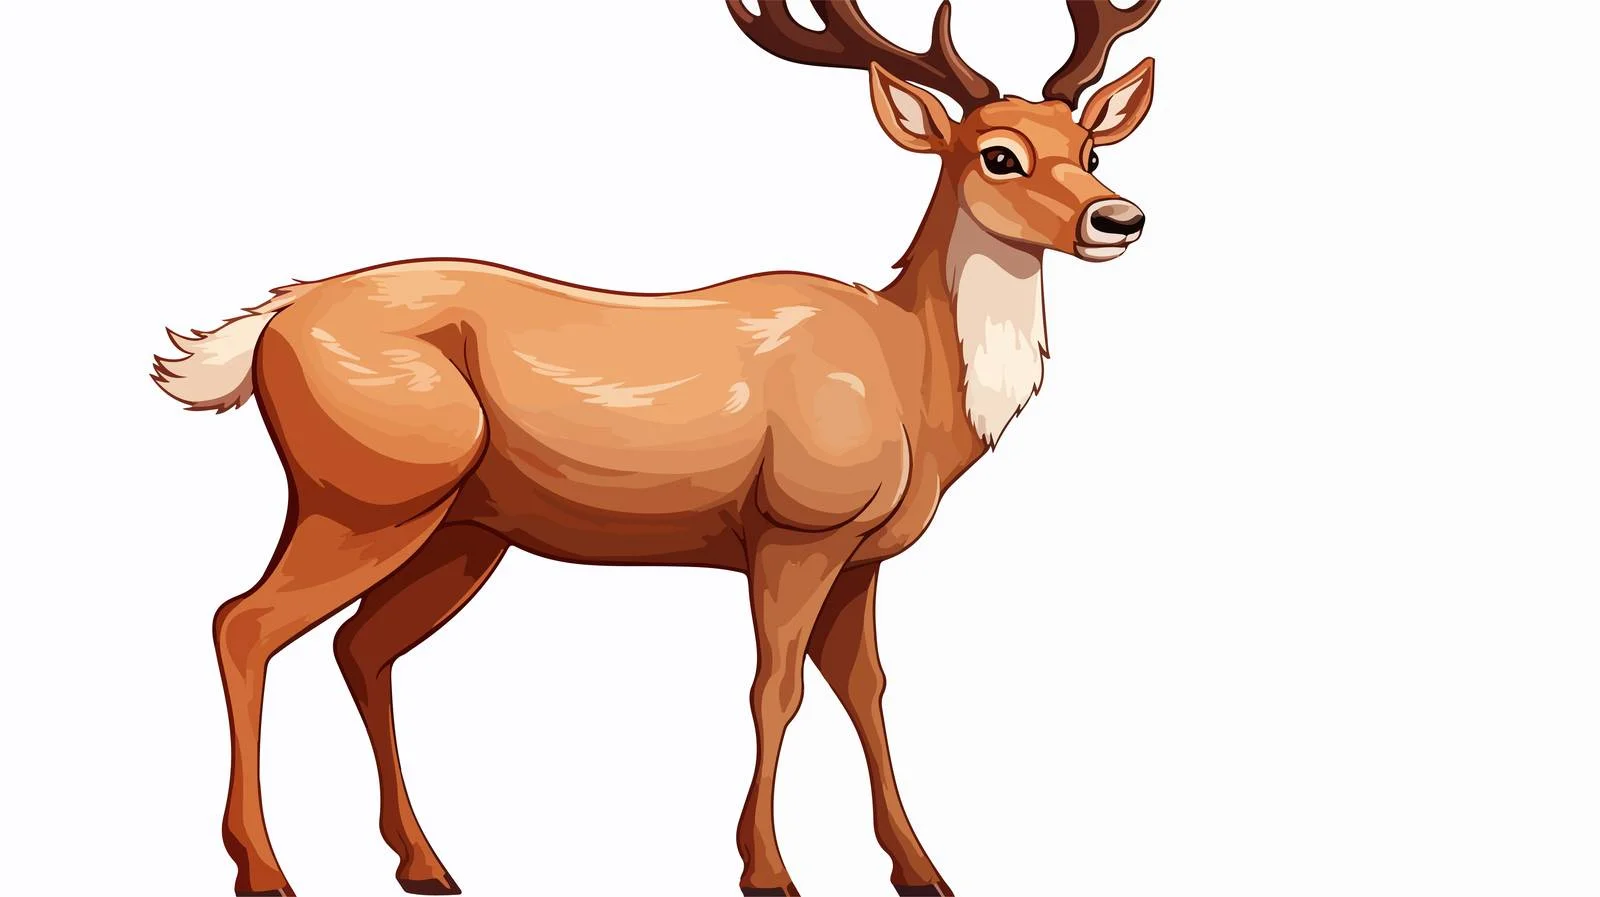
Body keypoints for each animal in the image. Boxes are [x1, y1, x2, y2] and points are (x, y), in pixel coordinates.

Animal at [151, 1, 1160, 894]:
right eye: (999, 154)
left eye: (1091, 148)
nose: (1119, 218)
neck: (909, 381)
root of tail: (264, 329)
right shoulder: (795, 527)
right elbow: (774, 688)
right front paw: (767, 871)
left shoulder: (866, 555)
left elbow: (868, 690)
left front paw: (923, 871)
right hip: (367, 493)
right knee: (243, 622)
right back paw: (264, 869)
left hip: (463, 530)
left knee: (361, 646)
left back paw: (425, 863)